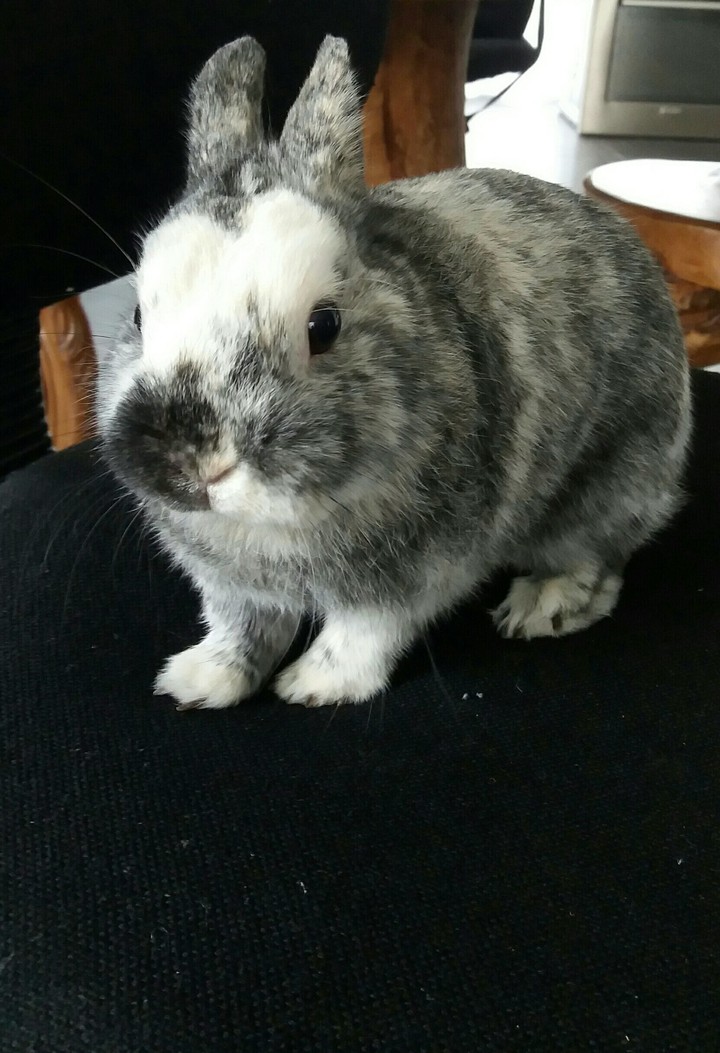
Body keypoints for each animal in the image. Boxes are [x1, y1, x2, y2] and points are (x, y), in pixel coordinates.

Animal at [96, 36, 691, 711]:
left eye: (323, 326)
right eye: (139, 315)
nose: (195, 465)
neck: (275, 525)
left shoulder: (407, 581)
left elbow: (362, 637)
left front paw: (313, 687)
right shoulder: (234, 589)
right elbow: (242, 629)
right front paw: (197, 682)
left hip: (608, 483)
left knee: (598, 559)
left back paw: (541, 607)